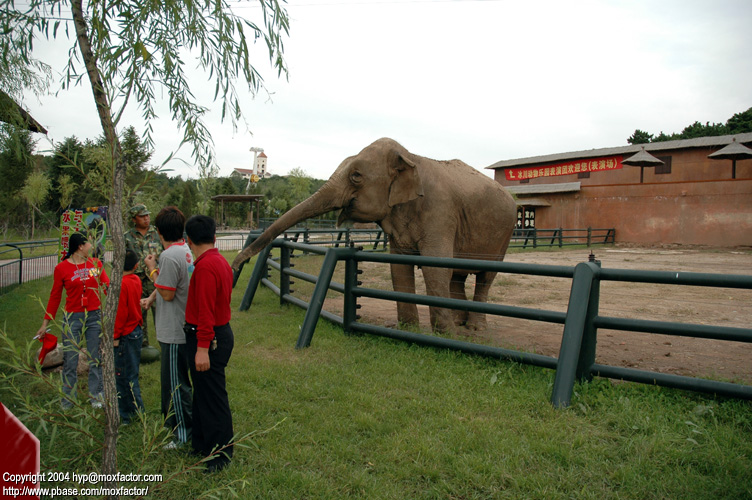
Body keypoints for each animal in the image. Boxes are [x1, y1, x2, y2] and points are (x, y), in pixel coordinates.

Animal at [234, 138, 516, 332]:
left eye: (356, 176)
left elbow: (435, 267)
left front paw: (444, 335)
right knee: (458, 275)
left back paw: (473, 328)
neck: (410, 156)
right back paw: (460, 322)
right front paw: (408, 330)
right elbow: (399, 268)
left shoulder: (440, 211)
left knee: (484, 277)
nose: (237, 264)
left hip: (504, 234)